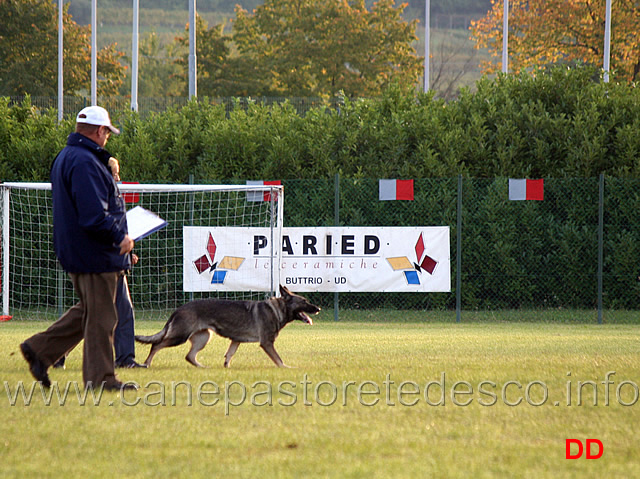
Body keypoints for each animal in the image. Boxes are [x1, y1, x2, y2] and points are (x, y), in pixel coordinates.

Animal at [135, 286, 320, 370]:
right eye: (304, 301)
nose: (318, 308)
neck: (277, 309)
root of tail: (178, 309)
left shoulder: (235, 340)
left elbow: (229, 355)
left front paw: (226, 368)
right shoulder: (267, 343)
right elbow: (278, 359)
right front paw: (286, 368)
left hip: (204, 337)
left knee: (189, 356)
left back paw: (203, 367)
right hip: (180, 336)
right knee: (156, 345)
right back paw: (147, 363)